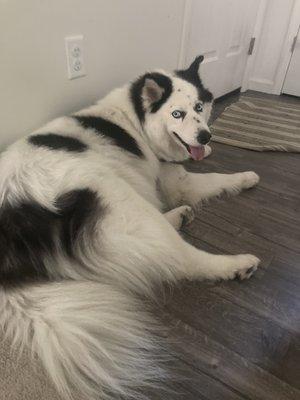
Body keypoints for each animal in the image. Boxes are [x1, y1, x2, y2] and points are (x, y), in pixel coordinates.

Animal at [0, 56, 260, 400]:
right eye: (177, 113)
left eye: (199, 107)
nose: (205, 137)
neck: (135, 118)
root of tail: (12, 218)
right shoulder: (177, 180)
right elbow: (216, 179)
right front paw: (245, 177)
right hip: (119, 198)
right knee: (181, 258)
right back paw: (236, 264)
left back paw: (180, 217)